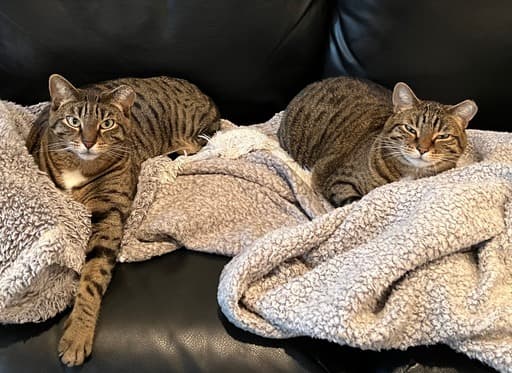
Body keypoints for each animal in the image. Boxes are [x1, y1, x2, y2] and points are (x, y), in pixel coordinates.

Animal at [27, 74, 220, 364]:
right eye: (74, 121)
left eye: (107, 124)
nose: (88, 142)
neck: (79, 166)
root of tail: (205, 96)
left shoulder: (109, 215)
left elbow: (93, 276)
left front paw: (78, 335)